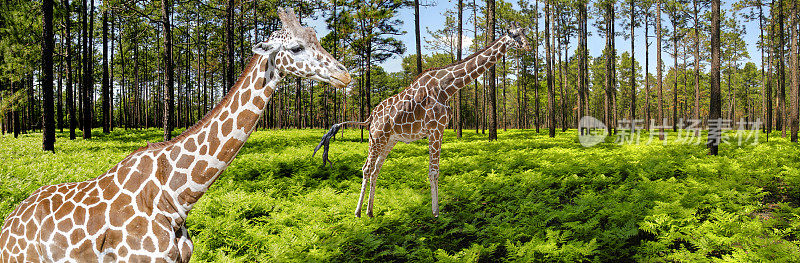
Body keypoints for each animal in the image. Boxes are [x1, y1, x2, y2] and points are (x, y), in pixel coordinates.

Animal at [314, 26, 532, 219]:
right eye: (514, 35)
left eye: (524, 32)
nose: (528, 46)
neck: (447, 88)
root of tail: (370, 117)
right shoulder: (435, 129)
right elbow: (433, 172)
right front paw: (436, 213)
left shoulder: (440, 130)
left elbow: (436, 170)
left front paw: (436, 210)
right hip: (375, 138)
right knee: (366, 168)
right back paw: (358, 212)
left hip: (389, 140)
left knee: (375, 170)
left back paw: (370, 211)